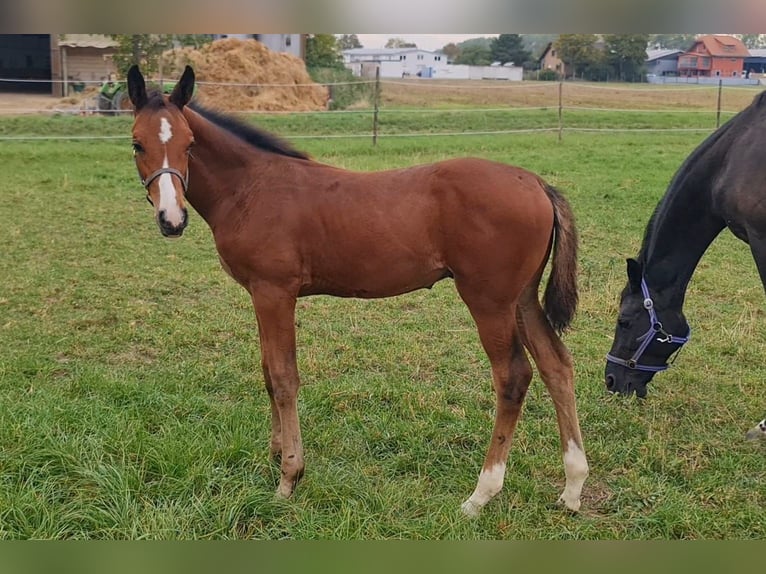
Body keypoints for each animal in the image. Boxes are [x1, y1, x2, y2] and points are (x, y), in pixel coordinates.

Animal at [129, 66, 592, 516]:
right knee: (556, 365)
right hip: (521, 298)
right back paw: (572, 489)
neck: (251, 188)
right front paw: (275, 456)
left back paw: (481, 494)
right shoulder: (260, 295)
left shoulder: (274, 291)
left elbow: (283, 377)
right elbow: (266, 373)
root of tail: (536, 183)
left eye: (190, 144)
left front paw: (289, 477)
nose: (172, 219)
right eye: (137, 144)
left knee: (513, 376)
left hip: (489, 301)